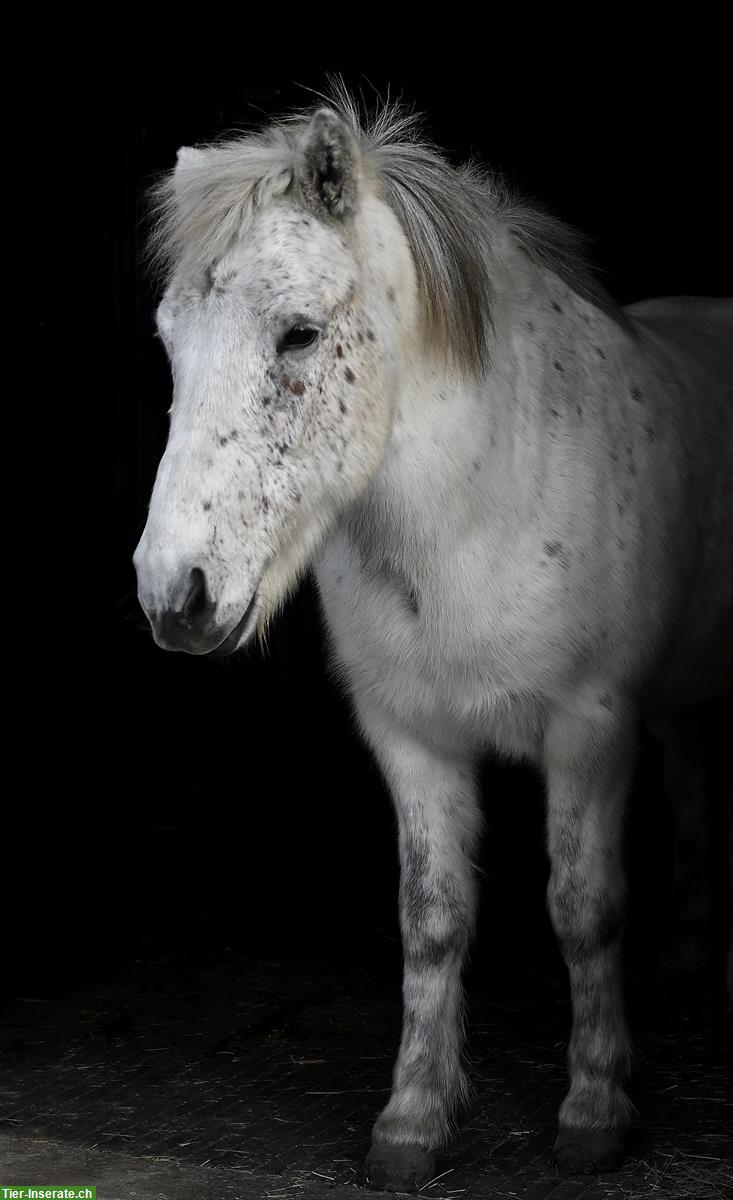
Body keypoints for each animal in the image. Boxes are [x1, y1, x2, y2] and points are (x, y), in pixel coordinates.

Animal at [133, 93, 733, 1190]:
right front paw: (411, 1121)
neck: (475, 507)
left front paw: (594, 1110)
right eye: (169, 342)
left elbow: (583, 910)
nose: (174, 593)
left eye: (298, 335)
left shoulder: (589, 731)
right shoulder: (409, 738)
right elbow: (432, 920)